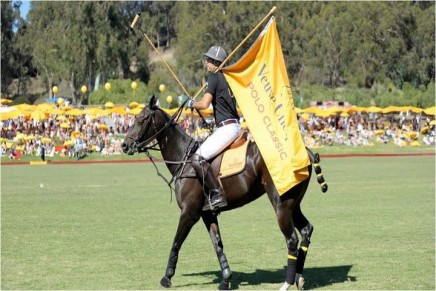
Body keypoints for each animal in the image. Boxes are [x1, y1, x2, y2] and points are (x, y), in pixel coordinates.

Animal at [120, 97, 328, 290]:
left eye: (141, 119)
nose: (124, 145)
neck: (183, 159)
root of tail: (304, 151)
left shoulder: (189, 213)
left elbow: (176, 243)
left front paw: (167, 277)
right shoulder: (208, 214)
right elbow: (217, 244)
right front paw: (226, 279)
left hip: (280, 203)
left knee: (292, 239)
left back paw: (287, 283)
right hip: (293, 203)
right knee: (306, 230)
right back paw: (299, 278)